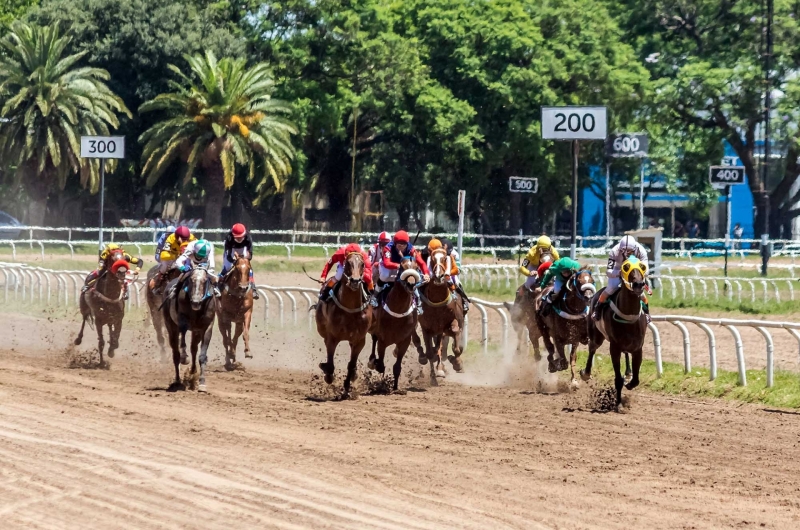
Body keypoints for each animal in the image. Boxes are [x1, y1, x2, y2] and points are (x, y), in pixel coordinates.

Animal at [314, 250, 374, 394]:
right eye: (347, 263)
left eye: (362, 264)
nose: (355, 281)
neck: (350, 309)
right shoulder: (332, 337)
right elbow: (330, 364)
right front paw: (328, 376)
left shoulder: (359, 339)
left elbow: (351, 365)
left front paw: (347, 387)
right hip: (321, 327)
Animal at [368, 254, 422, 390]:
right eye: (402, 267)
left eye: (416, 268)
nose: (411, 284)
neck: (398, 310)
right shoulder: (382, 339)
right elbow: (381, 364)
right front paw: (376, 365)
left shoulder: (405, 340)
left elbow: (397, 366)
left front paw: (395, 387)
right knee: (373, 340)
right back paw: (372, 360)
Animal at [412, 245, 462, 386]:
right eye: (432, 259)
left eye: (445, 258)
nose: (439, 276)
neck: (437, 300)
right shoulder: (426, 327)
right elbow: (430, 352)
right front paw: (434, 377)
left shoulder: (448, 323)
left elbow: (454, 336)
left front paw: (457, 362)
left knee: (439, 346)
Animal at [580, 256, 648, 408]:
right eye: (626, 267)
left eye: (642, 266)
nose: (638, 284)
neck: (628, 316)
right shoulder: (614, 347)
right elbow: (618, 379)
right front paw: (619, 404)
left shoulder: (638, 347)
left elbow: (636, 380)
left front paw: (629, 382)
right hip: (596, 335)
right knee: (592, 348)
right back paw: (586, 373)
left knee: (626, 354)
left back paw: (628, 373)